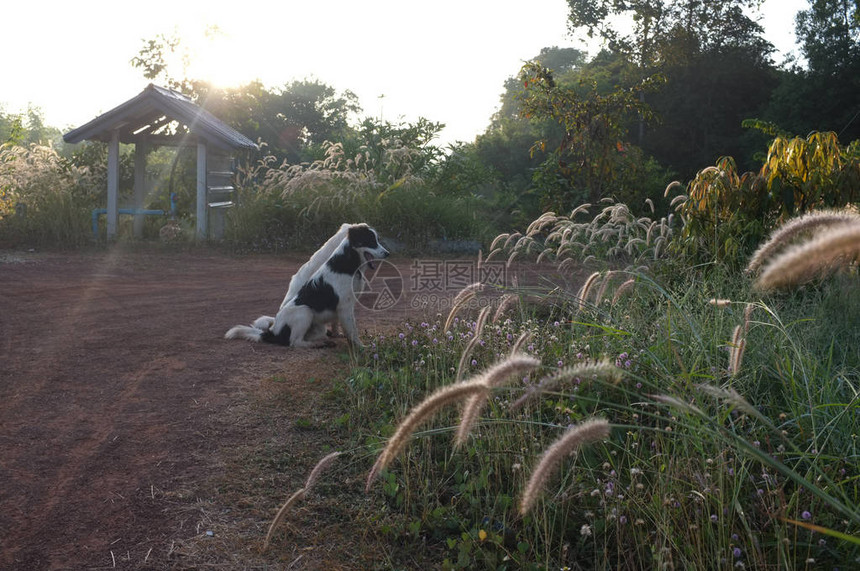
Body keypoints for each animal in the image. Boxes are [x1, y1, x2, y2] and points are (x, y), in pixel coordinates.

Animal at [228, 223, 390, 348]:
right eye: (370, 241)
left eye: (377, 240)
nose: (387, 253)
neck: (349, 261)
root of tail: (273, 332)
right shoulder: (345, 306)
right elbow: (352, 330)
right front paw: (361, 347)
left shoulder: (342, 307)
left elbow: (341, 325)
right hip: (305, 311)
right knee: (295, 342)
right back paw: (318, 344)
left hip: (316, 325)